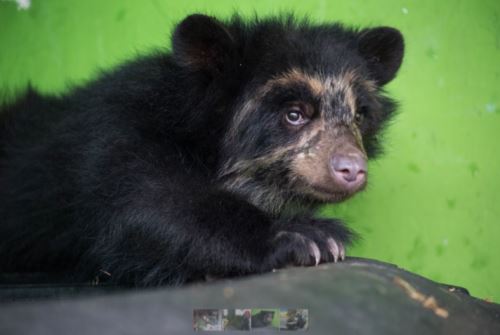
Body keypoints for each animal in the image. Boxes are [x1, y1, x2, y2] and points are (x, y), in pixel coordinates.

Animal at [0, 13, 402, 286]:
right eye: (294, 114)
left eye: (359, 115)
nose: (351, 169)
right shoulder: (116, 134)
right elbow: (149, 204)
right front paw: (308, 236)